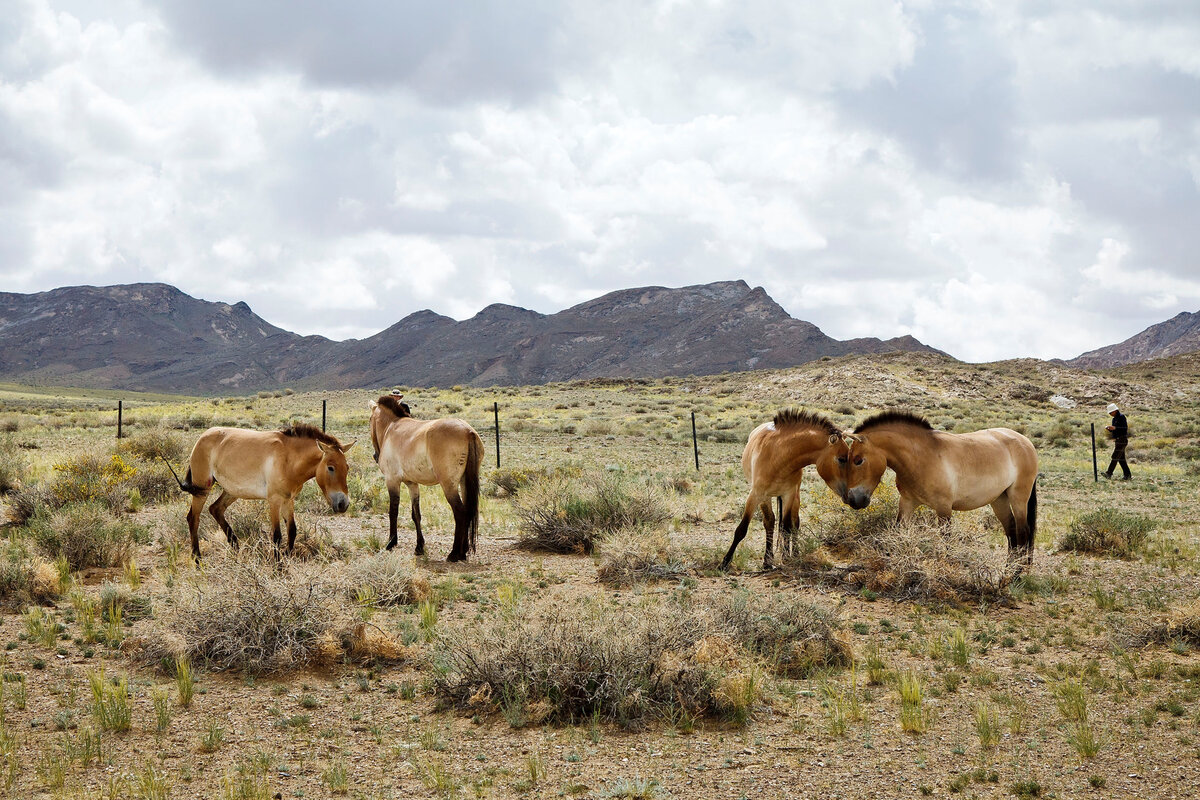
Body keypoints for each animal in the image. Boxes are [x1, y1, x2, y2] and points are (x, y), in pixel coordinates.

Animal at [171, 422, 352, 561]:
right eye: (331, 467)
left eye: (347, 467)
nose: (343, 504)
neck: (288, 459)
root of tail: (202, 437)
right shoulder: (274, 501)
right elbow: (277, 536)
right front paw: (278, 568)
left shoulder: (288, 500)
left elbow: (292, 532)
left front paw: (286, 558)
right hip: (202, 489)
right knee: (193, 518)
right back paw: (197, 560)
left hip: (232, 491)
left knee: (216, 509)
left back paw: (236, 548)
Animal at [364, 395, 482, 563]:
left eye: (370, 420)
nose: (375, 455)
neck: (391, 428)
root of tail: (468, 431)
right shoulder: (412, 484)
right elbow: (416, 515)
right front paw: (419, 547)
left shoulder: (392, 481)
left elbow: (393, 511)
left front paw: (391, 542)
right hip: (464, 482)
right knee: (468, 512)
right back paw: (463, 551)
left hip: (449, 486)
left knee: (460, 513)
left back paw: (454, 554)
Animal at [720, 410, 844, 573]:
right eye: (842, 458)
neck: (779, 457)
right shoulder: (757, 495)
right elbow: (744, 528)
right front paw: (725, 562)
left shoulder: (789, 494)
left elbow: (786, 527)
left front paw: (786, 557)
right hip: (766, 497)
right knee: (771, 522)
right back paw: (769, 559)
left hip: (795, 496)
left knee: (795, 523)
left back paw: (795, 554)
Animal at [816, 410, 1041, 566]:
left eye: (858, 460)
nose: (854, 500)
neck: (922, 456)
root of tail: (1025, 441)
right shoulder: (908, 502)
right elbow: (898, 532)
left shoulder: (944, 508)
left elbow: (946, 542)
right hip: (999, 499)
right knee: (1011, 532)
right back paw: (1008, 571)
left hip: (1018, 497)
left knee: (1023, 532)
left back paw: (1017, 575)